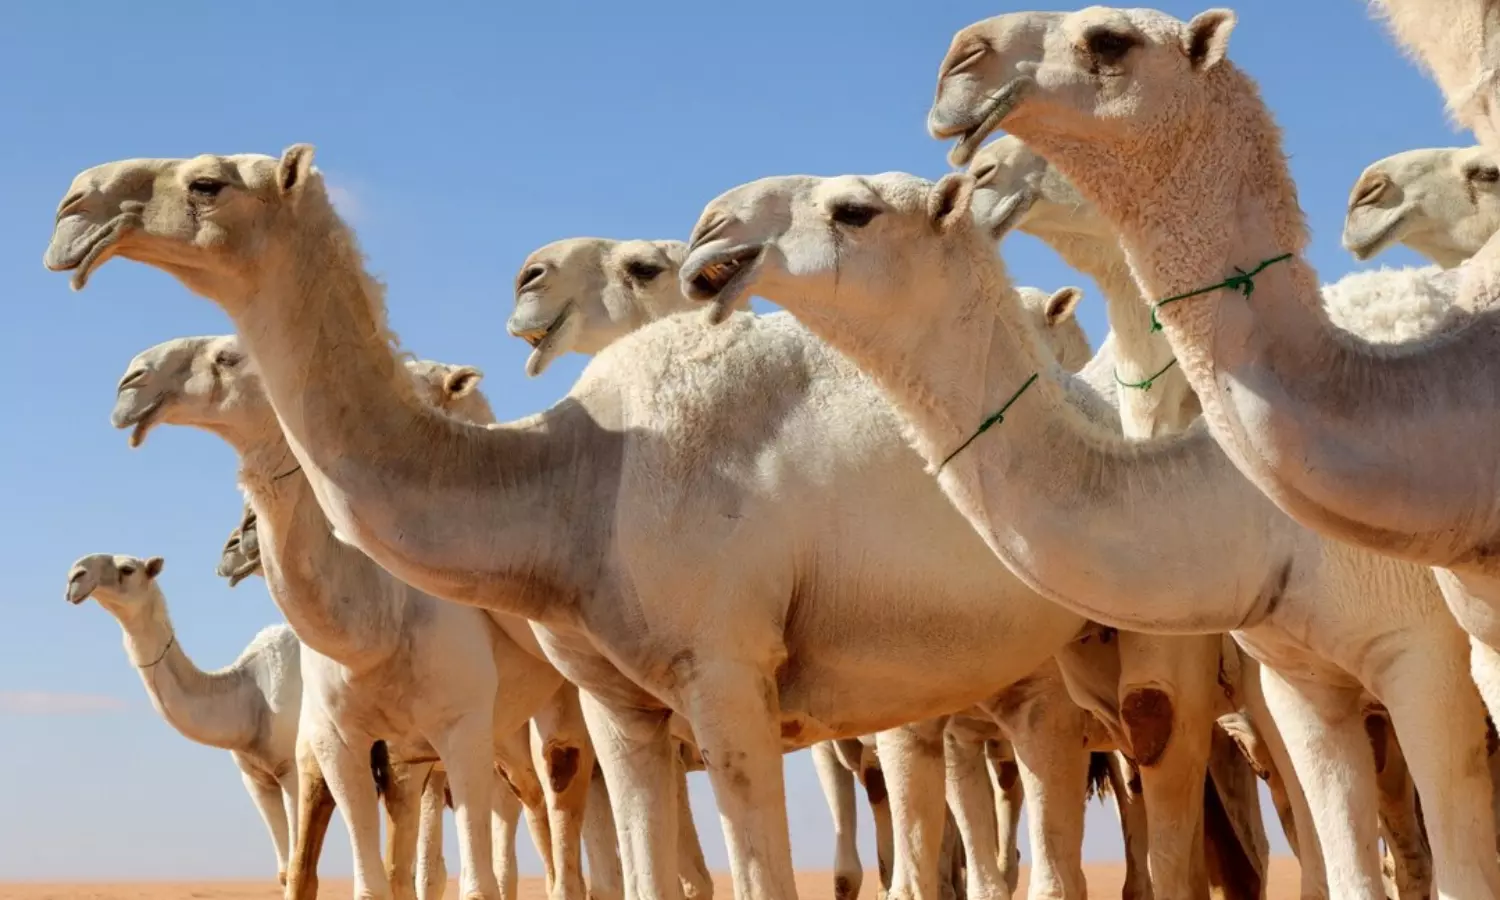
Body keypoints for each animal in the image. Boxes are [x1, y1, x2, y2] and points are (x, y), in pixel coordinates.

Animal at [65, 552, 302, 886]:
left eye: (128, 569)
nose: (75, 577)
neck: (253, 696)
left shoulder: (292, 767)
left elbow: (296, 867)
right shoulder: (256, 776)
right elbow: (283, 870)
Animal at [108, 334, 593, 900]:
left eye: (229, 356)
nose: (131, 380)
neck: (379, 620)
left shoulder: (460, 726)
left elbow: (473, 879)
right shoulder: (343, 744)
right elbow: (367, 877)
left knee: (560, 782)